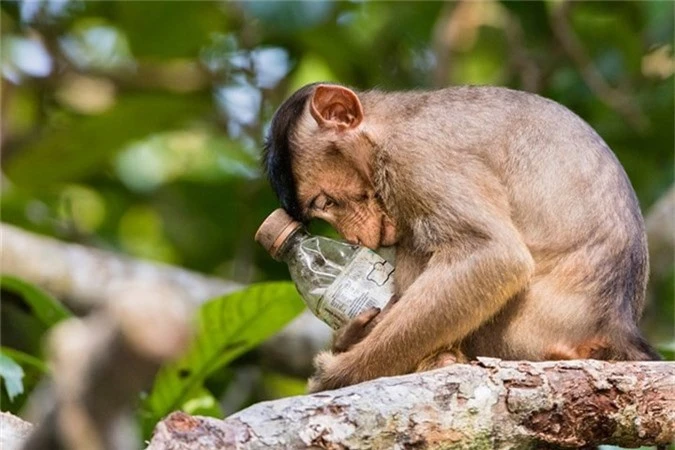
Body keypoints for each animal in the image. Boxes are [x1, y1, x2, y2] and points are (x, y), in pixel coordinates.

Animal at [262, 82, 664, 392]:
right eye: (321, 212)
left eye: (326, 201)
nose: (352, 236)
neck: (387, 128)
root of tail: (617, 322)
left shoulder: (414, 157)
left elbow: (494, 255)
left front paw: (341, 373)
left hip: (521, 333)